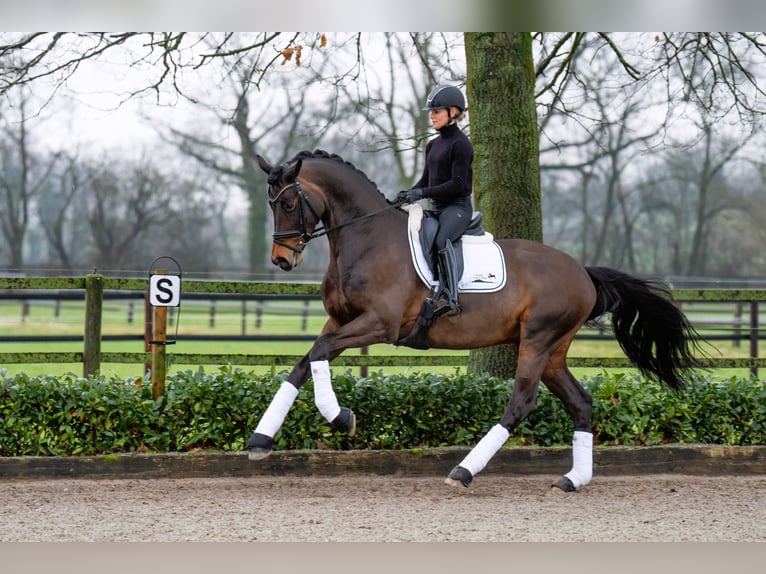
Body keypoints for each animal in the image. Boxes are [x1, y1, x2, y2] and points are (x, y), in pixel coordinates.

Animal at [244, 150, 704, 496]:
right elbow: (304, 362)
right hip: (550, 351)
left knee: (520, 403)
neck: (364, 238)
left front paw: (341, 417)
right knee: (581, 403)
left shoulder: (380, 324)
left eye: (288, 203)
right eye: (271, 204)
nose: (282, 261)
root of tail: (583, 273)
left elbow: (318, 355)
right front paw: (260, 440)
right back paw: (573, 479)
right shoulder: (339, 320)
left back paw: (464, 471)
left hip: (537, 341)